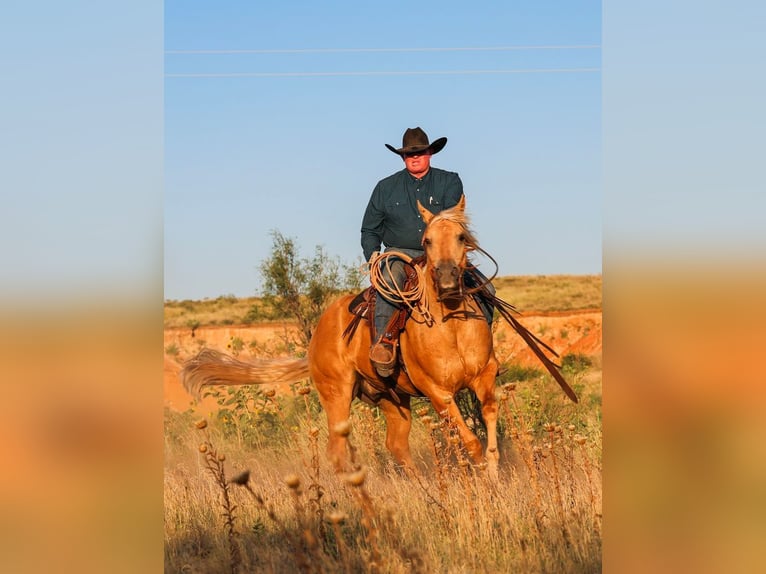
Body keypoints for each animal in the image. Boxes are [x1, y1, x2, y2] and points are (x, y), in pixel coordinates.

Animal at [182, 195, 575, 478]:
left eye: (462, 238)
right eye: (426, 241)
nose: (448, 279)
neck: (451, 326)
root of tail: (317, 335)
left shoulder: (484, 379)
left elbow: (489, 431)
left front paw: (492, 475)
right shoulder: (438, 393)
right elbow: (471, 442)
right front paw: (482, 476)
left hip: (392, 400)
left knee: (396, 447)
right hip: (338, 395)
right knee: (337, 450)